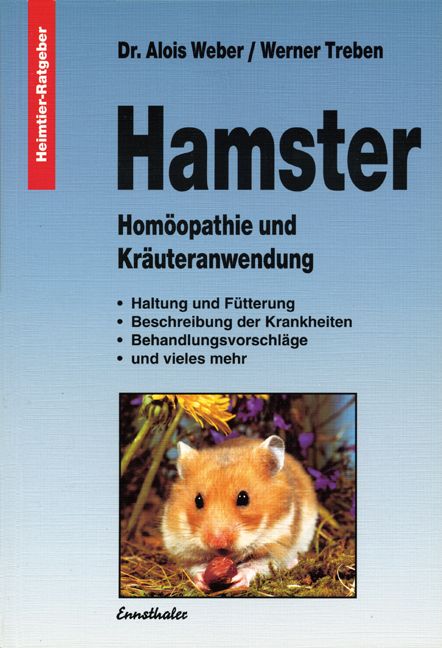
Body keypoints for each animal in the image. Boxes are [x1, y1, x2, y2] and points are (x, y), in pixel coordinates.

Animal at [161, 435, 318, 591]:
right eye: (198, 500)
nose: (217, 542)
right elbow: (196, 566)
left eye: (243, 498)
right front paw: (202, 580)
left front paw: (238, 579)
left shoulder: (278, 544)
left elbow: (257, 565)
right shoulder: (181, 548)